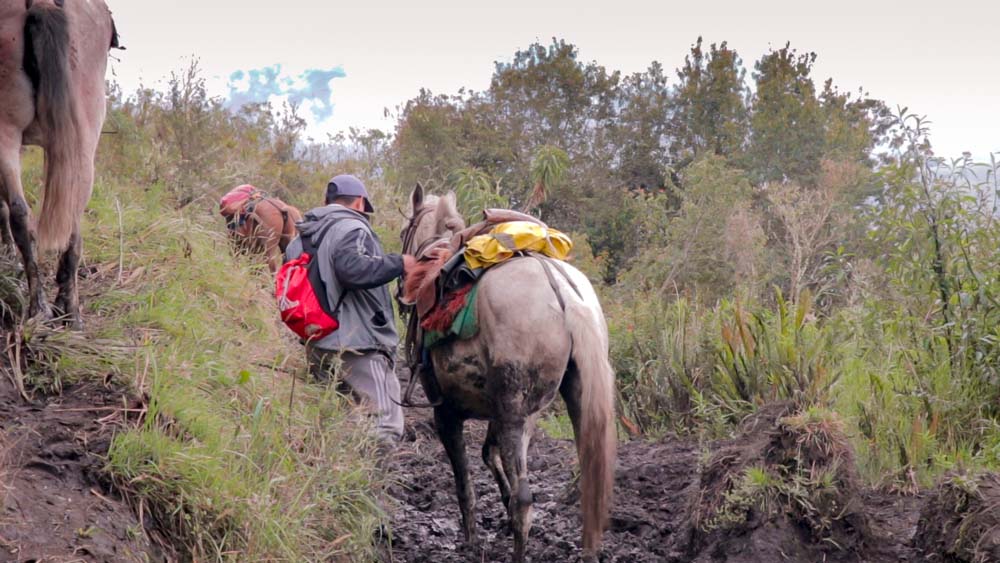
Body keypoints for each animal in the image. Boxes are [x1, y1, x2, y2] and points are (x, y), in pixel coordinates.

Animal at [0, 0, 119, 328]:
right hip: (83, 138)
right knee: (72, 219)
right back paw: (68, 308)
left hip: (5, 130)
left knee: (20, 214)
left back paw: (37, 307)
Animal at [400, 185, 616, 563]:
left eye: (403, 232)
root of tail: (562, 290)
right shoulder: (501, 411)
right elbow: (490, 453)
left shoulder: (447, 413)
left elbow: (464, 485)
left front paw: (471, 542)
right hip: (564, 402)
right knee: (589, 483)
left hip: (513, 411)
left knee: (524, 500)